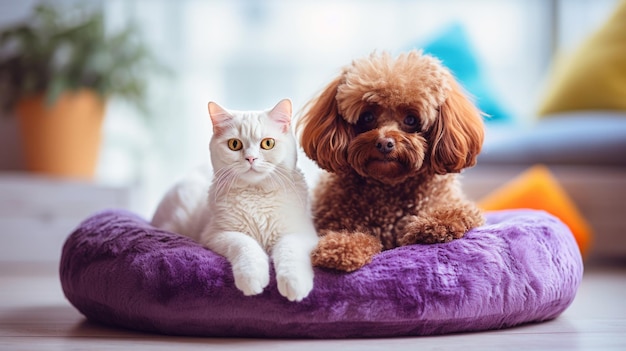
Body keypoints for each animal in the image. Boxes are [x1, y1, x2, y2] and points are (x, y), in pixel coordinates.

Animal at [151, 99, 316, 302]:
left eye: (268, 143)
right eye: (234, 144)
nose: (251, 158)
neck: (255, 194)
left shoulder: (302, 232)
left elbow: (290, 250)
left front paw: (294, 282)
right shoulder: (218, 234)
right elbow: (245, 245)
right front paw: (251, 277)